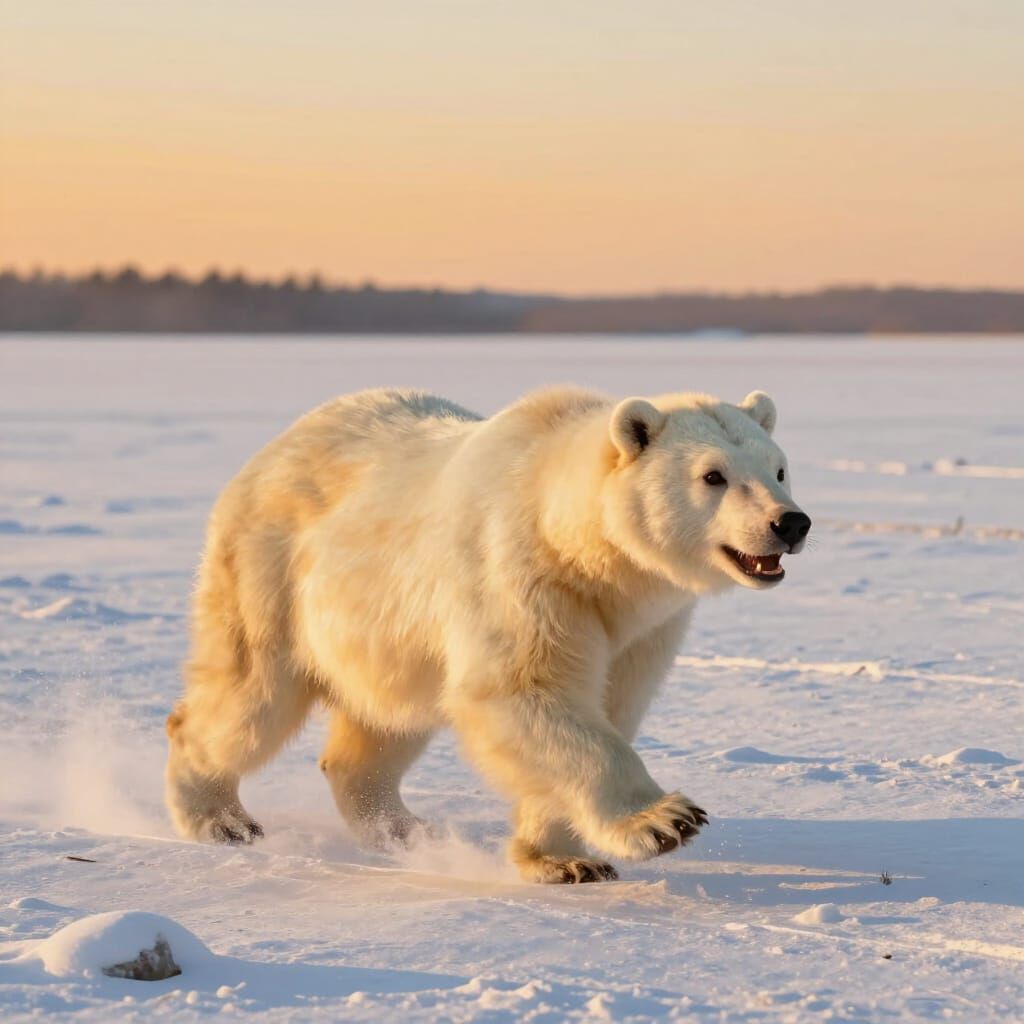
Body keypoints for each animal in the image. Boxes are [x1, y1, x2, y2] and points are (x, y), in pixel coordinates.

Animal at [165, 386, 810, 883]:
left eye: (779, 468)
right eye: (713, 475)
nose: (790, 522)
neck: (576, 542)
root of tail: (272, 448)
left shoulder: (639, 625)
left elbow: (606, 705)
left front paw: (562, 860)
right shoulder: (520, 574)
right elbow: (524, 690)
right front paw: (664, 821)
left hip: (388, 640)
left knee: (381, 726)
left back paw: (405, 829)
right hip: (272, 574)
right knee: (253, 694)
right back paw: (219, 818)